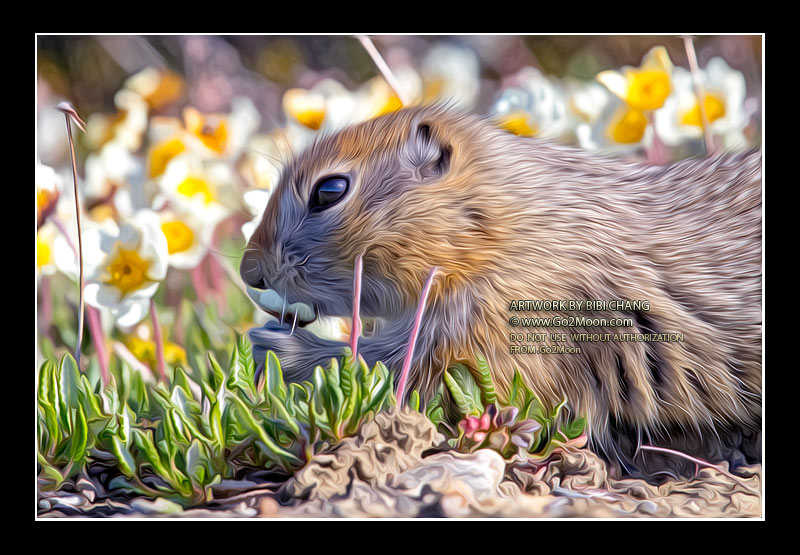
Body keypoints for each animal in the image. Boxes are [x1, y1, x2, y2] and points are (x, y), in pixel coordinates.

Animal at [240, 104, 762, 482]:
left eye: (329, 190)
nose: (250, 273)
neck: (510, 224)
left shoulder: (491, 338)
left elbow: (397, 374)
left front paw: (274, 347)